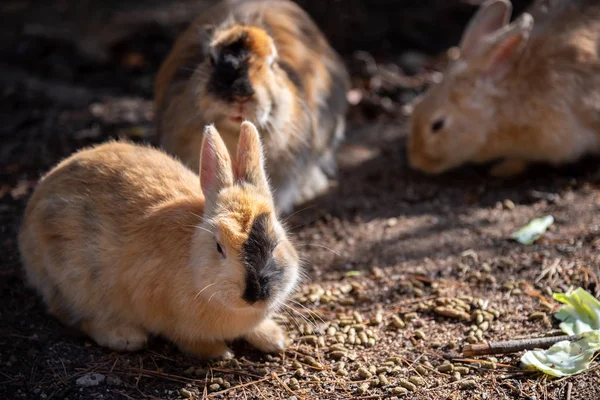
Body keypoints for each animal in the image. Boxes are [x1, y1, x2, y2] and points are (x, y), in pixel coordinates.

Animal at [18, 122, 300, 360]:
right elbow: (186, 339)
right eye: (219, 247)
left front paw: (274, 338)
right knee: (72, 316)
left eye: (276, 243)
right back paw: (125, 336)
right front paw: (219, 352)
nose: (255, 294)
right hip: (73, 281)